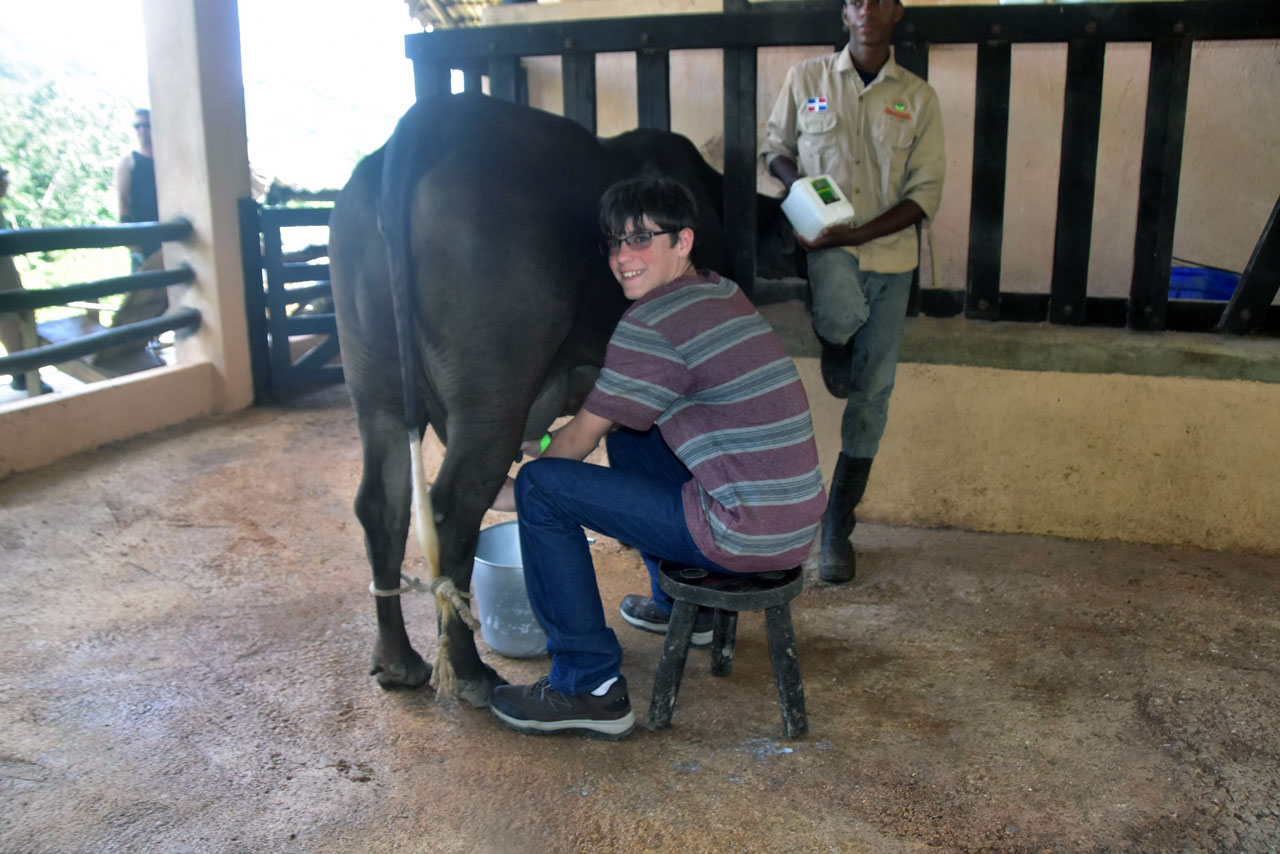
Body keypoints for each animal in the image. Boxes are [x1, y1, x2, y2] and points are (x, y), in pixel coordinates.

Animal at [327, 93, 788, 706]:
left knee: (383, 502)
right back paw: (471, 674)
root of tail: (429, 122)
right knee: (453, 509)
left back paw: (399, 662)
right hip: (492, 396)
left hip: (375, 386)